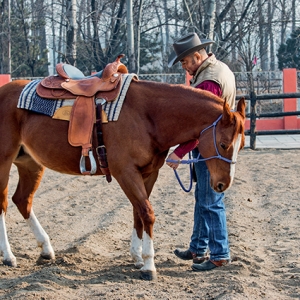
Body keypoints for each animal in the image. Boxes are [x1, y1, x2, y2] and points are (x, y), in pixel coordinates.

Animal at [0, 78, 244, 282]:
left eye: (241, 145)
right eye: (223, 144)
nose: (223, 184)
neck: (147, 116)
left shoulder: (148, 174)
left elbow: (139, 213)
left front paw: (137, 257)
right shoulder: (125, 172)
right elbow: (147, 213)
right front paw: (148, 265)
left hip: (31, 164)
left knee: (22, 200)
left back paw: (45, 249)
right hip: (4, 162)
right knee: (3, 204)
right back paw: (9, 256)